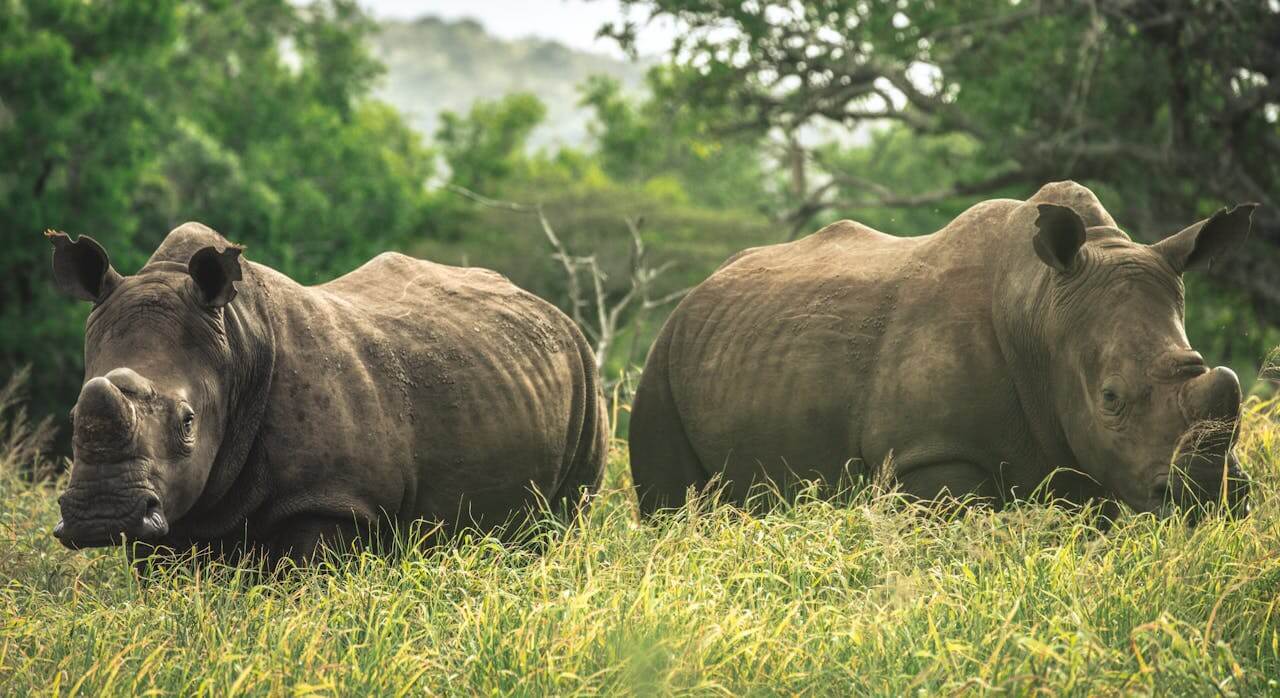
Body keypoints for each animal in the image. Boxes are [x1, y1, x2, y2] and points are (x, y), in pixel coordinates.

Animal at [48, 223, 608, 562]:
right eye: (73, 418)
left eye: (188, 422)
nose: (103, 516)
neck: (236, 341)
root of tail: (555, 312)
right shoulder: (167, 510)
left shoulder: (333, 498)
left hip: (586, 381)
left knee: (563, 520)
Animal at [630, 182, 1253, 519]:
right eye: (1111, 398)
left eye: (1200, 369)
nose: (1208, 501)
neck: (1043, 310)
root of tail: (699, 288)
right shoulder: (929, 452)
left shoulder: (1087, 460)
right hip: (660, 361)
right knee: (670, 505)